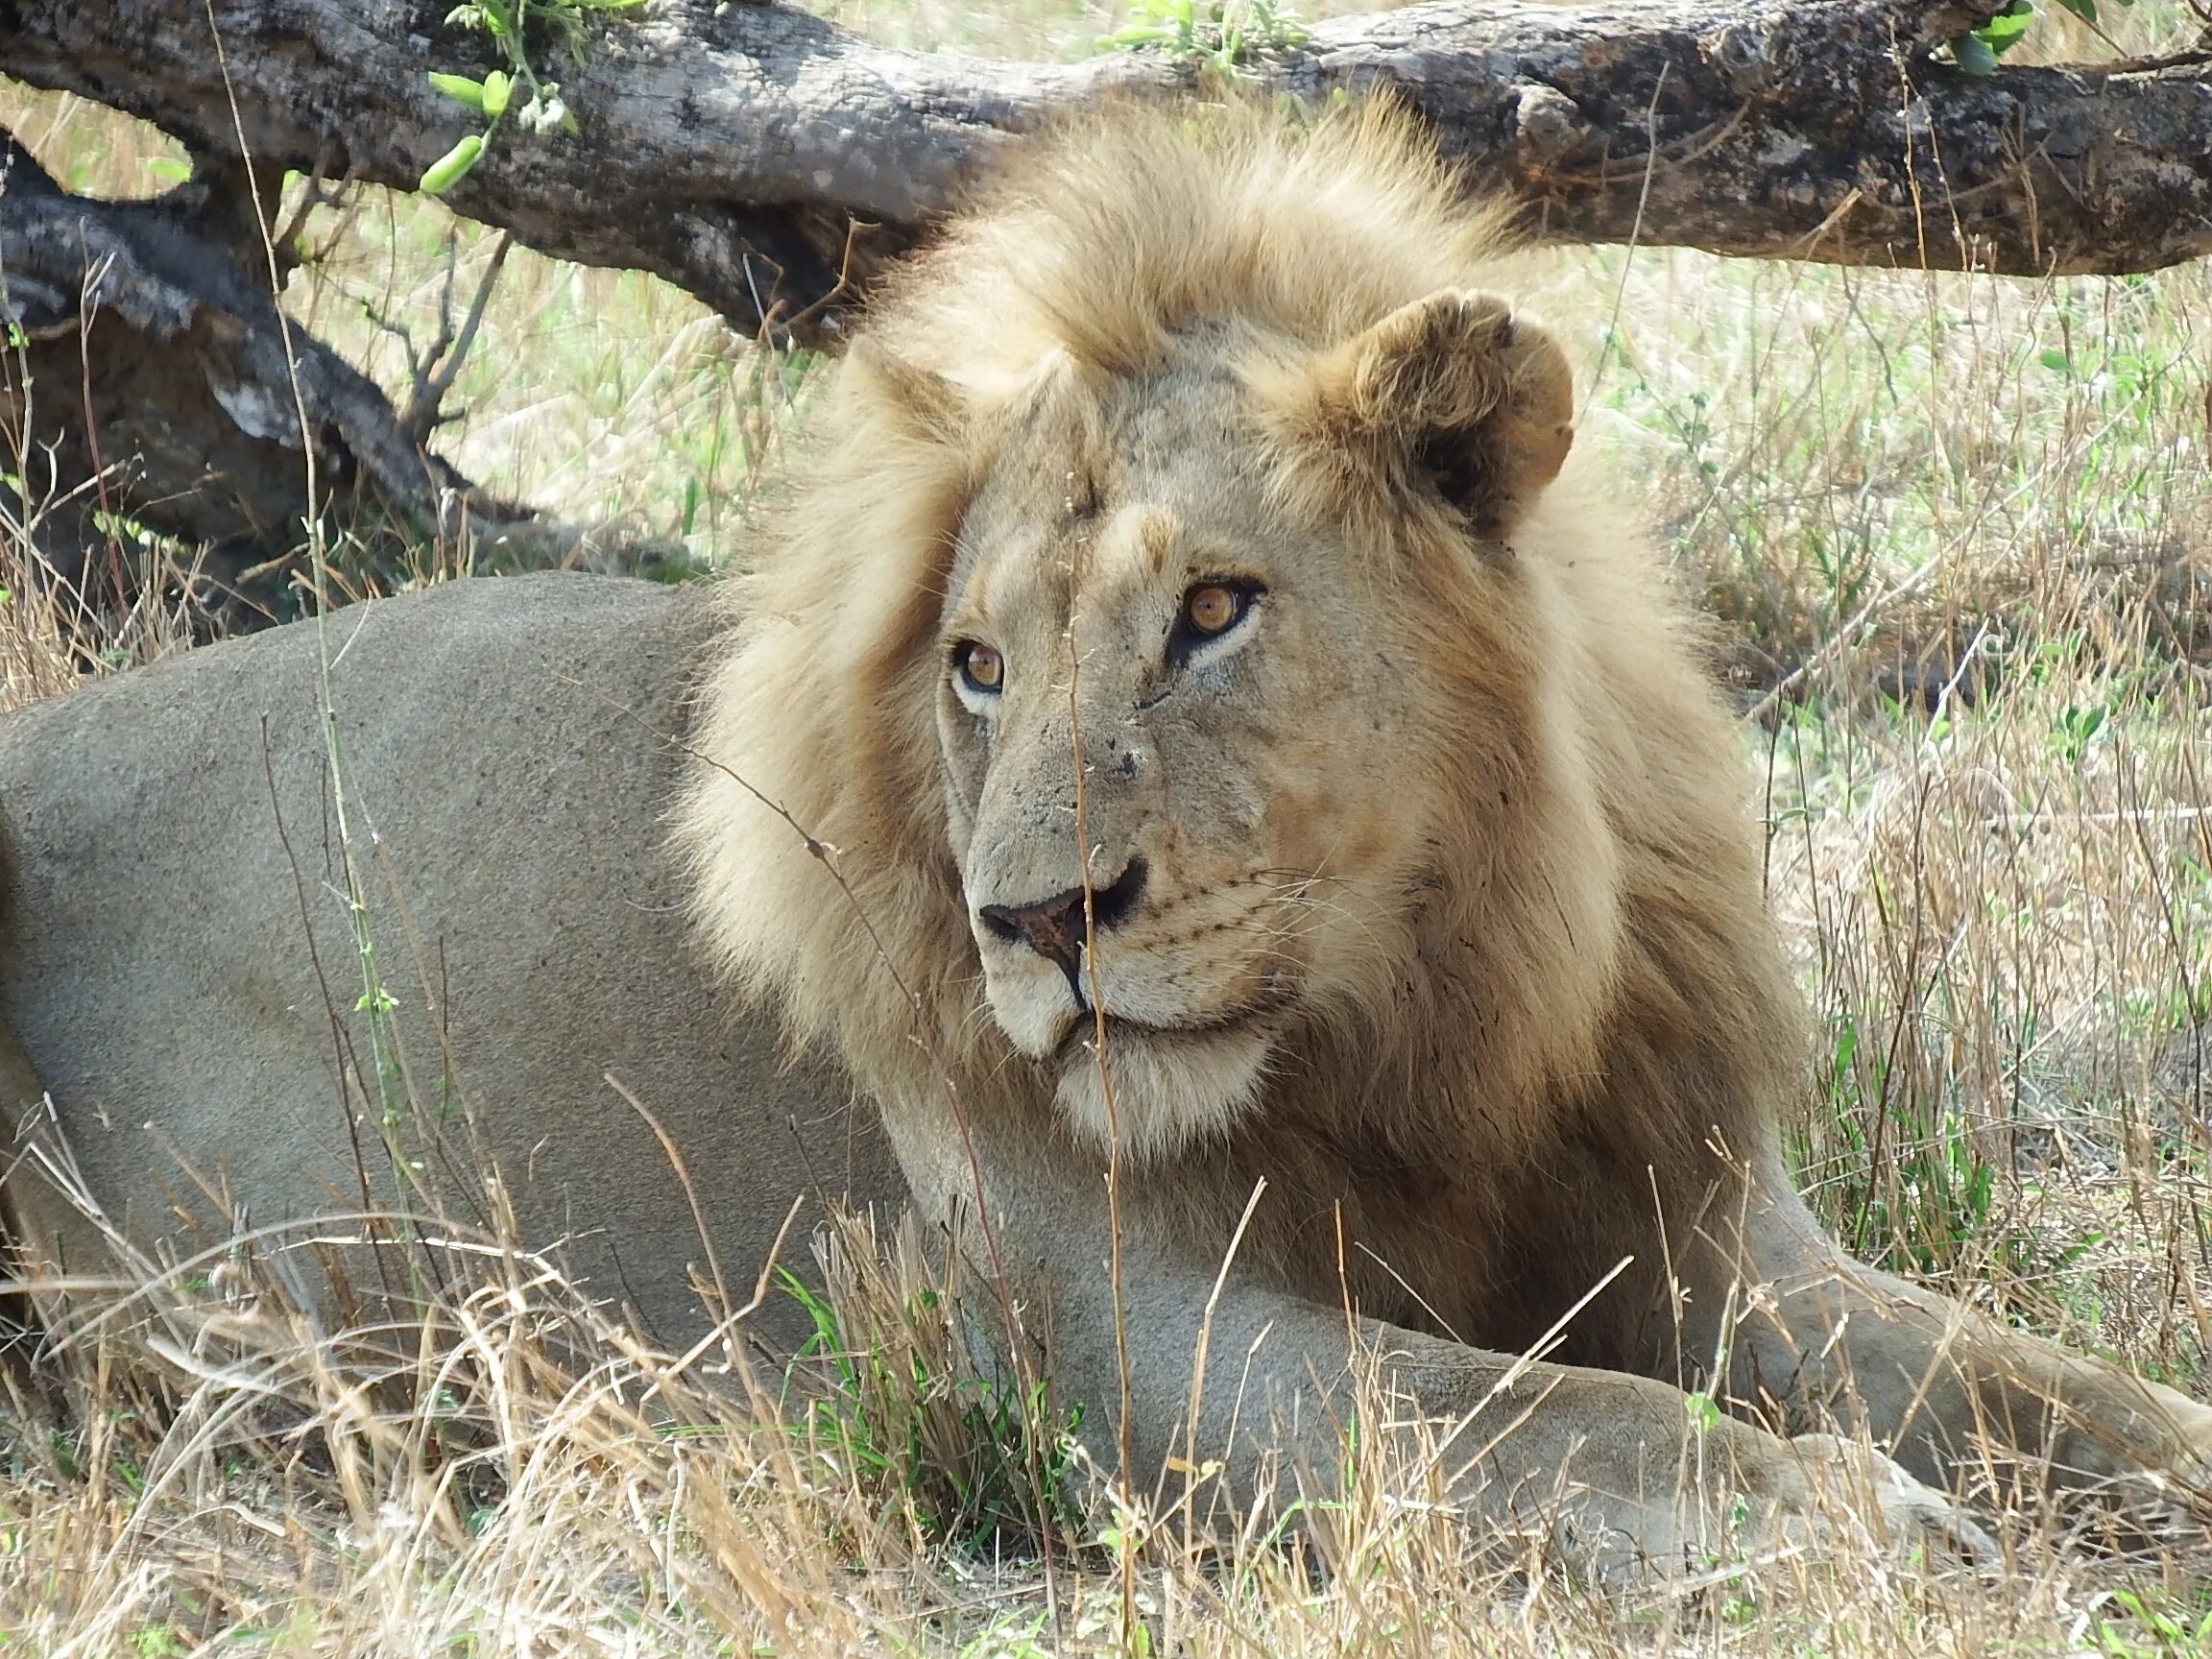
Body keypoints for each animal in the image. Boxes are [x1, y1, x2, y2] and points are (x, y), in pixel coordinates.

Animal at [4, 97, 2212, 1575]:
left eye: (1215, 610)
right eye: (977, 665)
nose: (1035, 923)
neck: (1424, 1019)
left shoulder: (1711, 1237)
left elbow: (2051, 1385)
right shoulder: (1125, 1351)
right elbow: (1545, 1422)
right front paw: (1855, 1518)